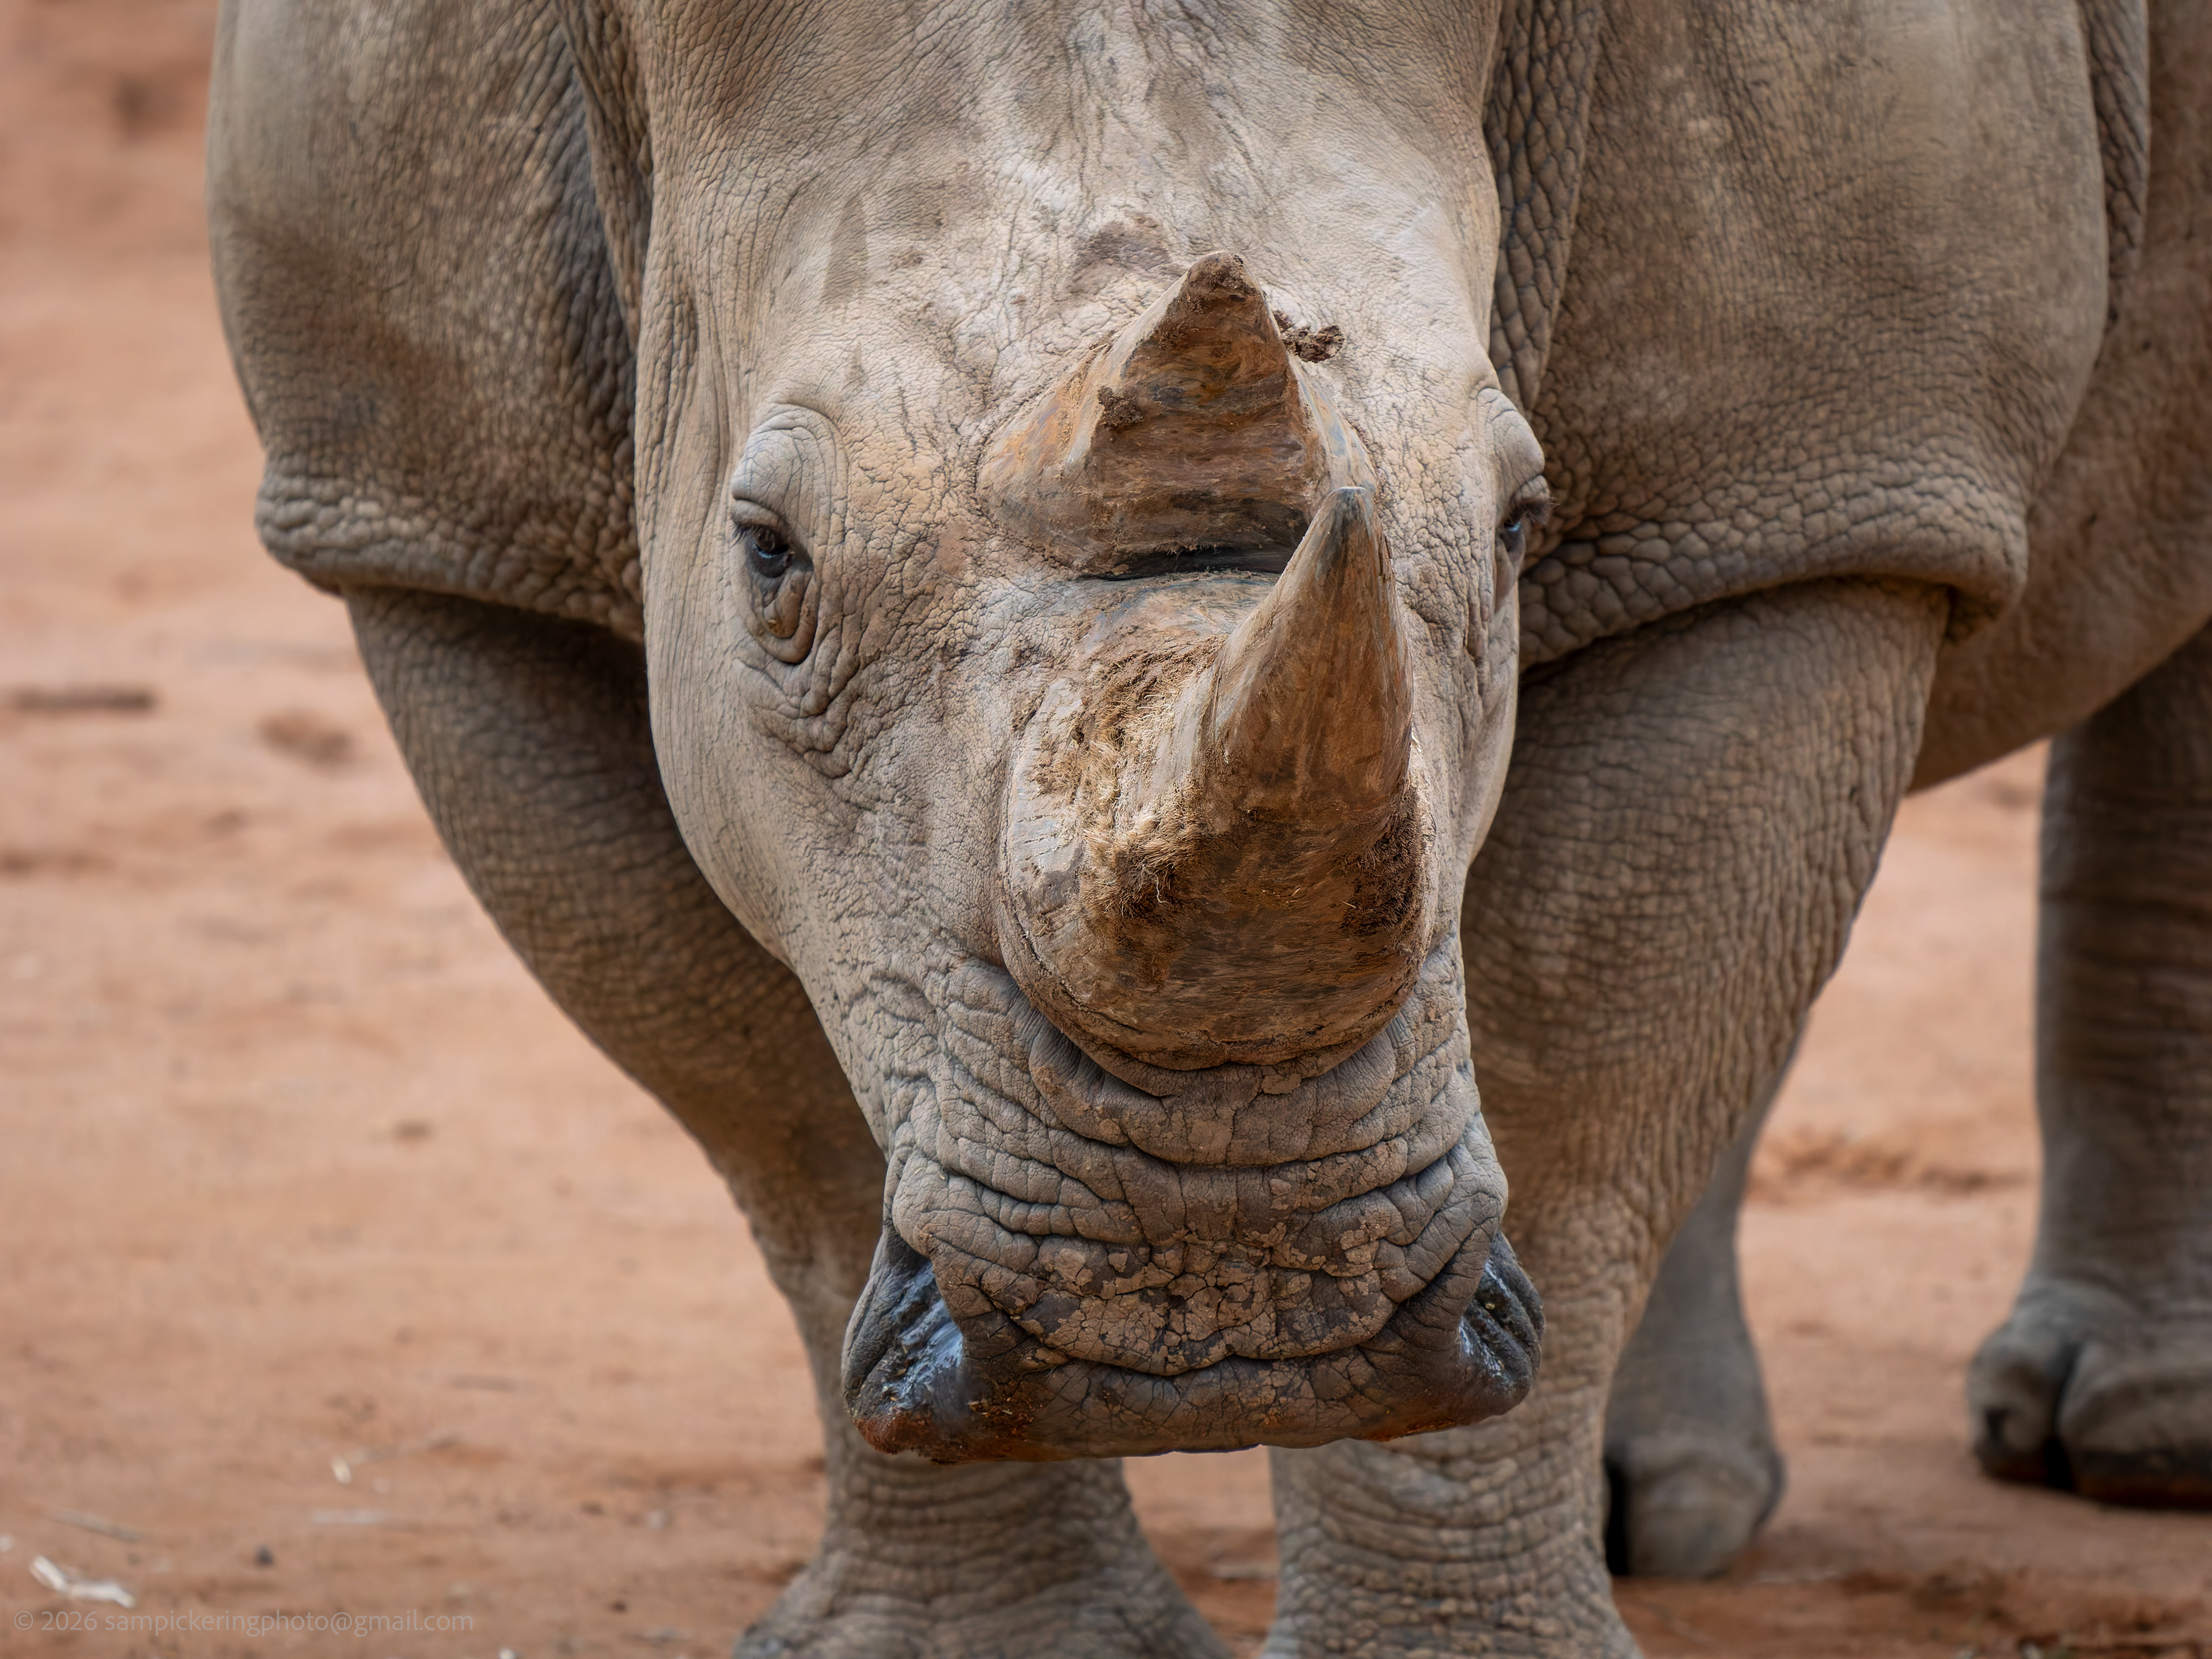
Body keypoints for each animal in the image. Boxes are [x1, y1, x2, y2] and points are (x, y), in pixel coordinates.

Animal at [206, 0, 2212, 1651]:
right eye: (766, 563)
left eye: (1517, 525)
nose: (1219, 1299)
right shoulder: (437, 535)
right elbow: (790, 1130)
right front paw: (982, 1644)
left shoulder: (1808, 494)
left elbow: (1578, 1087)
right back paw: (1672, 1514)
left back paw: (2126, 1448)